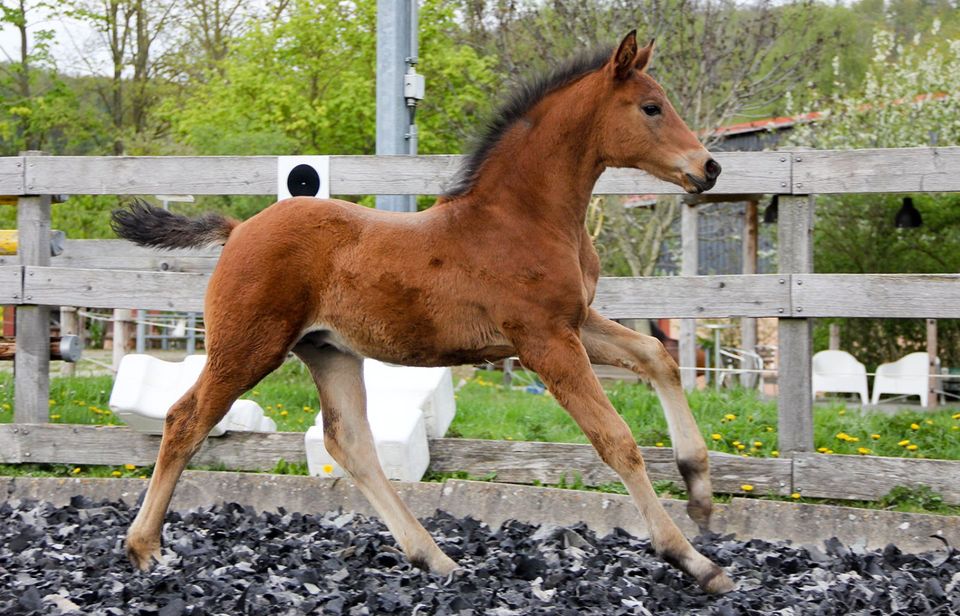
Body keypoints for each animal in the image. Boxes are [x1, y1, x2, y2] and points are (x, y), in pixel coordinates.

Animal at [110, 32, 728, 592]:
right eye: (651, 107)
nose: (709, 167)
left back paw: (434, 557)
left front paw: (700, 494)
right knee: (185, 420)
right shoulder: (544, 340)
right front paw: (692, 559)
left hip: (329, 351)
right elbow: (616, 440)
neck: (524, 218)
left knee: (350, 443)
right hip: (249, 347)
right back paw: (144, 548)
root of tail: (239, 230)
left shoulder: (574, 323)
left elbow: (656, 355)